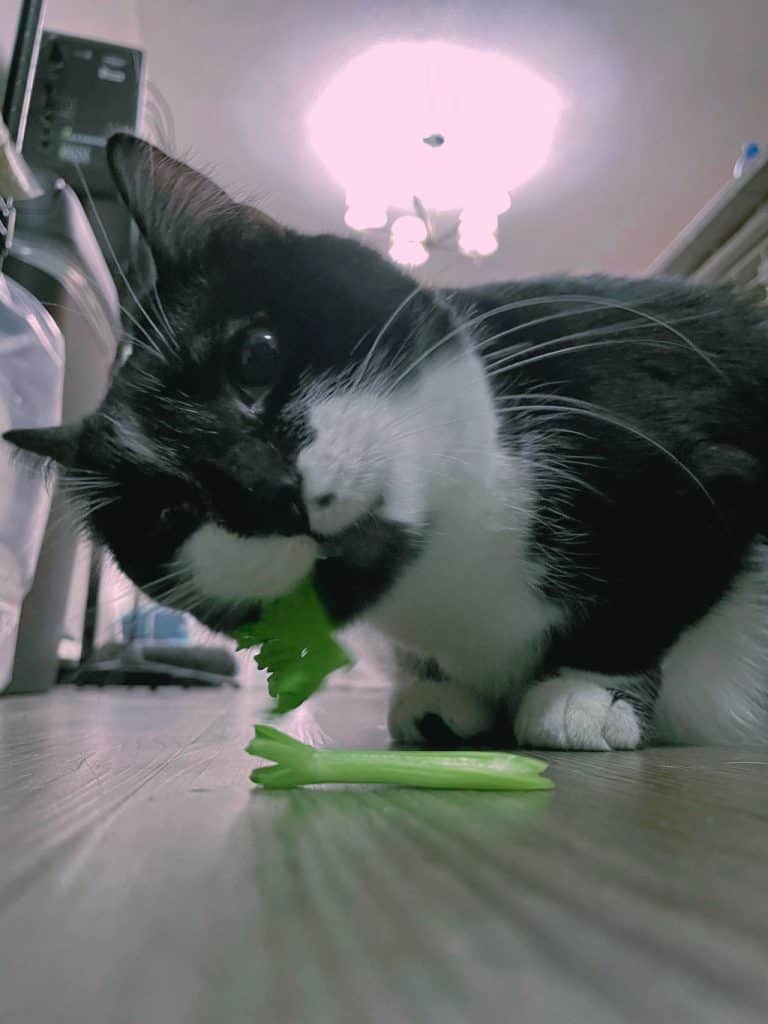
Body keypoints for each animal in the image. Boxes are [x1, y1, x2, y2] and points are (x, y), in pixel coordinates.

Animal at [6, 132, 768, 749]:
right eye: (166, 511)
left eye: (255, 357)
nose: (270, 491)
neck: (455, 575)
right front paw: (438, 694)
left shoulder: (681, 442)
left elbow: (664, 579)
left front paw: (585, 691)